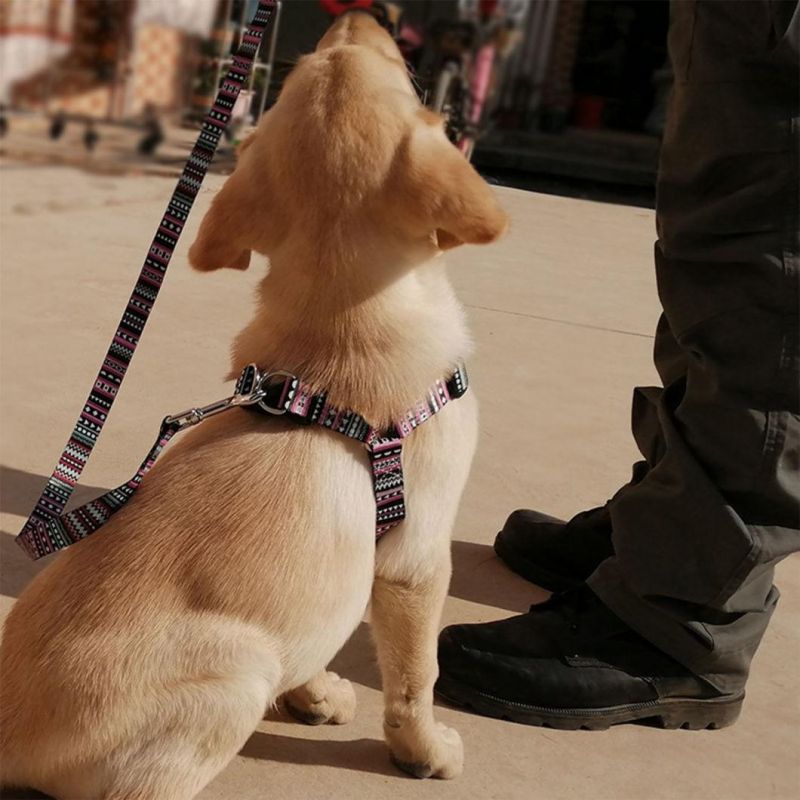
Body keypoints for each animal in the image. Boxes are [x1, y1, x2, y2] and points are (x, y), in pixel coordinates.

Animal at [0, 14, 506, 800]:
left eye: (310, 65)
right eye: (393, 66)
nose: (359, 14)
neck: (330, 341)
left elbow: (322, 633)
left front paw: (315, 692)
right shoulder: (417, 560)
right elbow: (416, 676)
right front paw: (422, 749)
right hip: (233, 676)